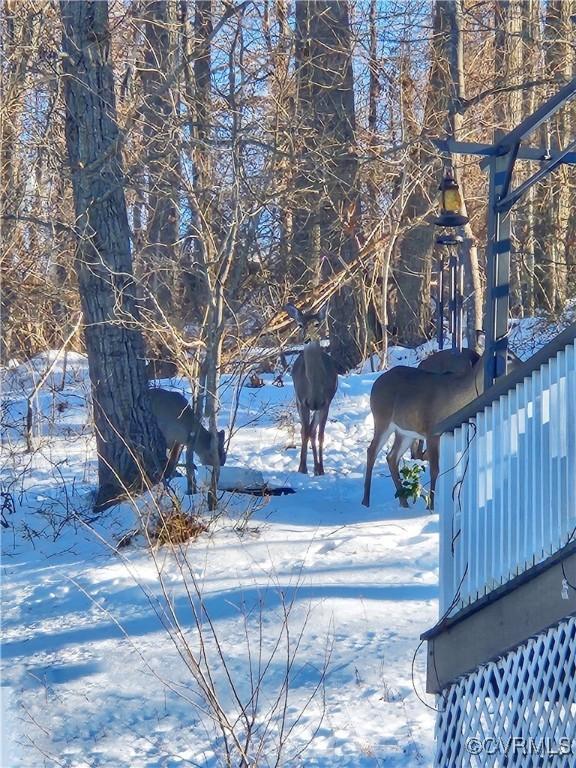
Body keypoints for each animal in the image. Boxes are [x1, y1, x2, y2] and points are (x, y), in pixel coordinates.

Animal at [284, 304, 338, 474]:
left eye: (316, 324)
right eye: (300, 325)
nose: (307, 339)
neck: (314, 386)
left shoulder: (326, 402)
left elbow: (320, 435)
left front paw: (321, 469)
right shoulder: (303, 401)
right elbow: (305, 433)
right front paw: (302, 468)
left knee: (313, 431)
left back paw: (317, 467)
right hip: (298, 401)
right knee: (305, 430)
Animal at [360, 352, 486, 510]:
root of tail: (376, 383)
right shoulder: (432, 431)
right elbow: (435, 469)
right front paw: (430, 507)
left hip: (405, 432)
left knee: (391, 457)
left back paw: (404, 502)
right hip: (382, 419)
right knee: (372, 450)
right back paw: (366, 501)